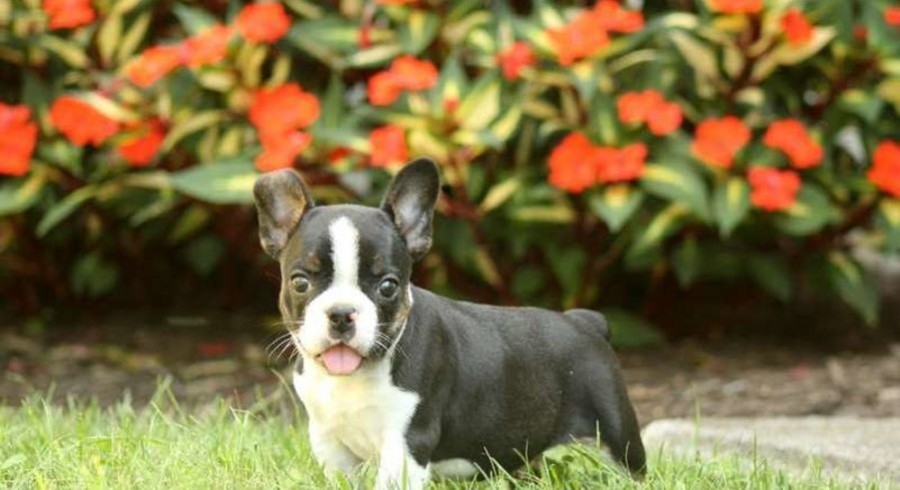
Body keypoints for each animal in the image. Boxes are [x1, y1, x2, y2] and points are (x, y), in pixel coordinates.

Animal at [253, 159, 648, 488]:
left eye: (388, 287)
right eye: (300, 283)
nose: (341, 313)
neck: (355, 377)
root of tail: (585, 321)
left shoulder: (406, 443)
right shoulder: (329, 443)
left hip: (616, 432)